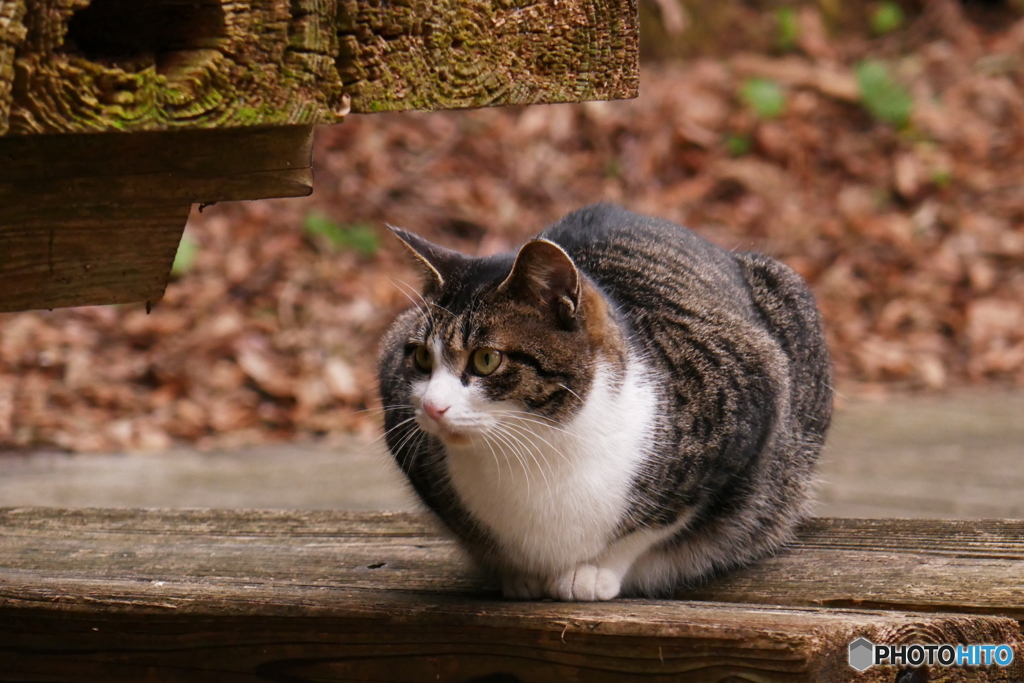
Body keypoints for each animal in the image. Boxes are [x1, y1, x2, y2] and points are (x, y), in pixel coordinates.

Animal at [376, 201, 831, 598]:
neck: (536, 446)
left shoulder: (751, 400)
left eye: (486, 359)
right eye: (420, 357)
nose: (432, 407)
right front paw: (520, 574)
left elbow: (657, 522)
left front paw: (593, 571)